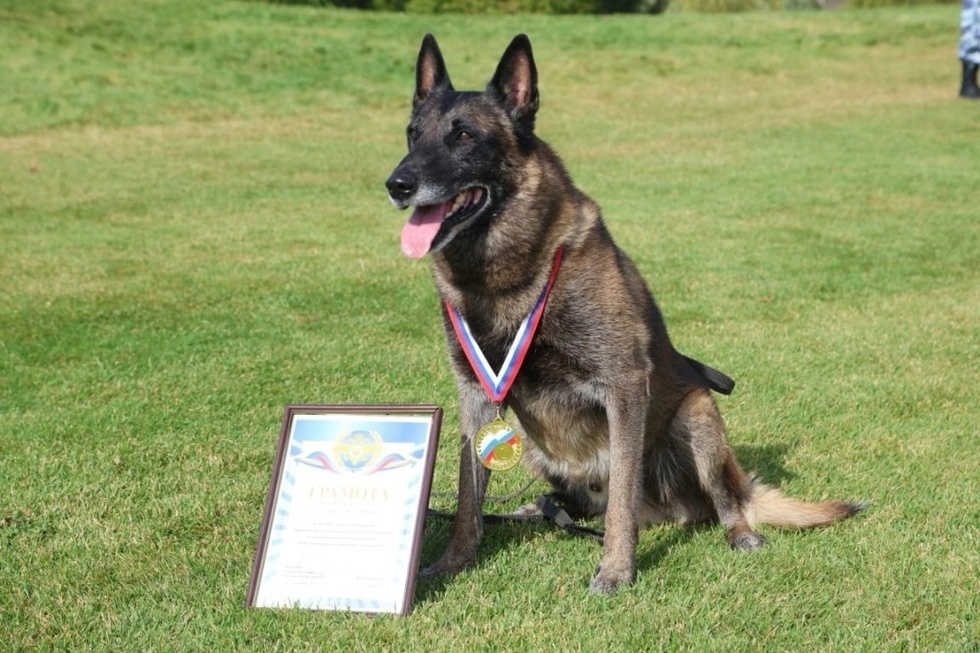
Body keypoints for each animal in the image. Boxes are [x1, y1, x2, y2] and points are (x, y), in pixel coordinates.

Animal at [386, 33, 860, 592]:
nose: (397, 185)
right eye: (413, 135)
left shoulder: (625, 385)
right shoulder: (474, 394)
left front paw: (615, 571)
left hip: (699, 416)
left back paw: (741, 533)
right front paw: (454, 563)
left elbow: (622, 504)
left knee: (724, 501)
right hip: (538, 445)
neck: (508, 276)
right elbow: (467, 494)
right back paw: (537, 509)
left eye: (463, 136)